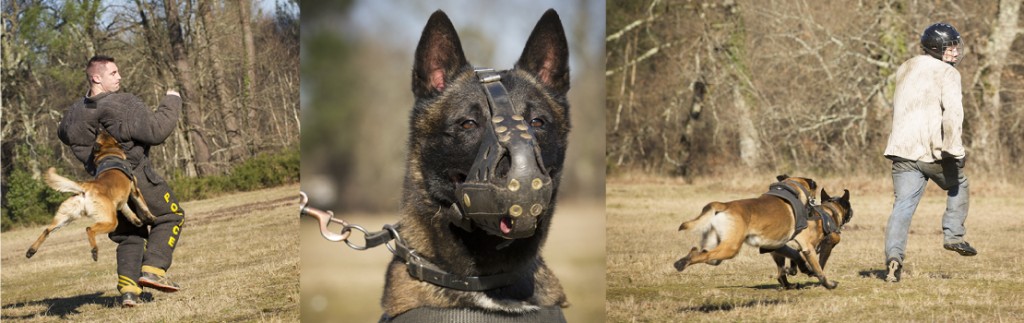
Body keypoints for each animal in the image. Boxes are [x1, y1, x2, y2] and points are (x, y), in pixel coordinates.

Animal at [26, 129, 155, 260]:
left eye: (102, 134)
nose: (100, 128)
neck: (109, 154)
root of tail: (87, 186)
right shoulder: (135, 190)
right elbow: (143, 206)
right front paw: (151, 218)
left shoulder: (121, 202)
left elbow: (128, 211)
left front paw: (137, 221)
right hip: (111, 221)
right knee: (89, 229)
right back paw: (94, 251)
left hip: (67, 217)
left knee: (47, 230)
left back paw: (31, 251)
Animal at [675, 176, 835, 289]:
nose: (814, 207)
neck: (793, 188)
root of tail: (724, 205)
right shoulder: (806, 246)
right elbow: (818, 269)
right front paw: (828, 283)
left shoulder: (777, 246)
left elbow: (795, 255)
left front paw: (802, 270)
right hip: (730, 248)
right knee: (702, 255)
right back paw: (682, 263)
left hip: (717, 249)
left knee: (701, 253)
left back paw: (684, 260)